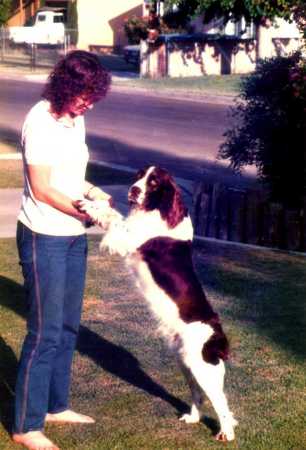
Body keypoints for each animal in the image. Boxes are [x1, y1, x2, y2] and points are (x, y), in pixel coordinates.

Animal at [80, 167, 237, 442]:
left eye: (153, 182)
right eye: (139, 175)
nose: (133, 190)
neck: (159, 210)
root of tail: (217, 336)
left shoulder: (128, 238)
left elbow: (114, 216)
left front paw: (91, 205)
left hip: (202, 366)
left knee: (221, 401)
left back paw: (226, 433)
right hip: (186, 361)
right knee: (198, 394)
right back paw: (193, 418)